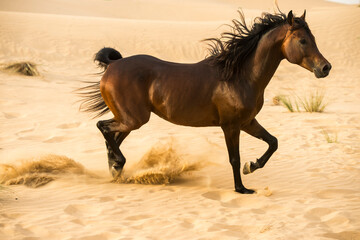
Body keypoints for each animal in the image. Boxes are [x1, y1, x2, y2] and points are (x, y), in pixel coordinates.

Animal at [79, 9, 332, 193]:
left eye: (313, 39)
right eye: (302, 41)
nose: (325, 68)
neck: (240, 75)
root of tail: (113, 65)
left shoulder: (248, 122)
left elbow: (273, 142)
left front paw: (251, 167)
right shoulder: (230, 126)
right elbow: (234, 158)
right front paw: (241, 188)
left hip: (130, 120)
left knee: (112, 138)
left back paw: (117, 170)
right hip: (133, 119)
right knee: (104, 128)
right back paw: (118, 164)